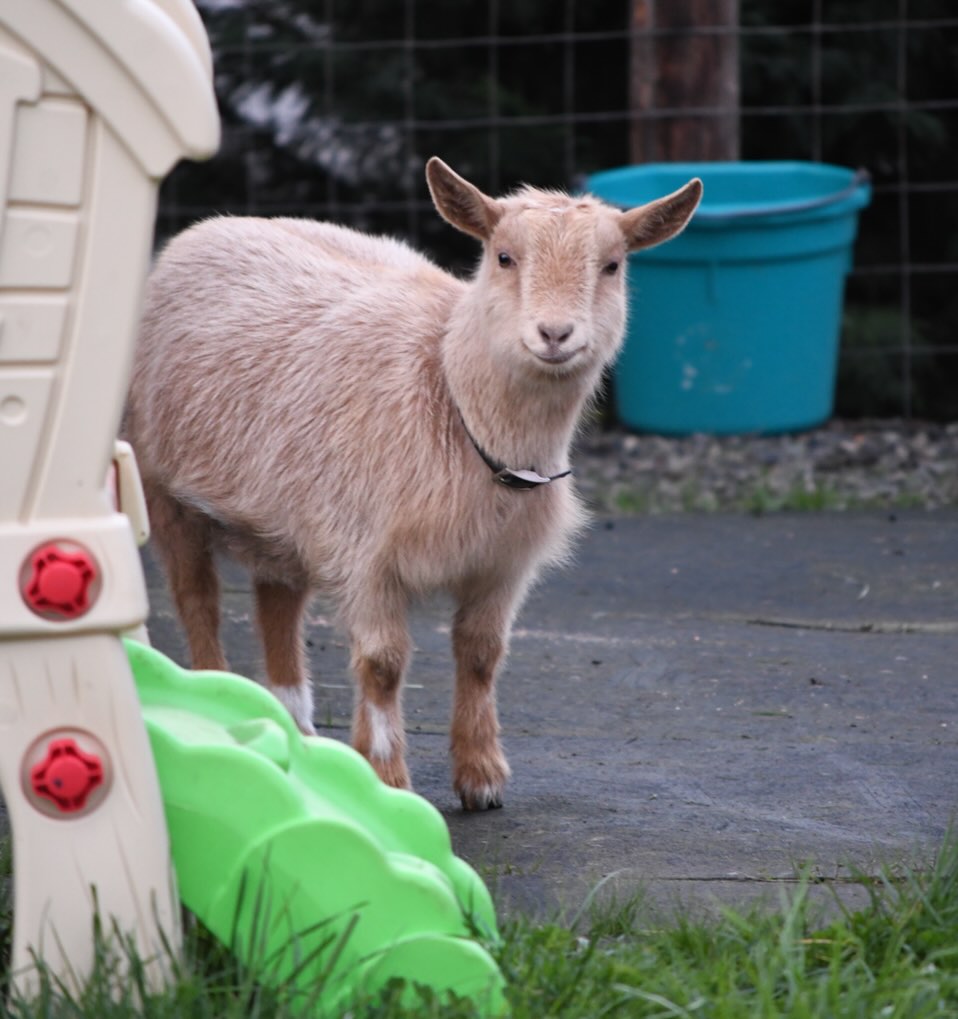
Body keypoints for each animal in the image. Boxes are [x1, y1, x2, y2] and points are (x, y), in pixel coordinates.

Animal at [124, 158, 701, 809]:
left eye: (612, 265)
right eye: (503, 257)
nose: (556, 334)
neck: (450, 390)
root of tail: (203, 230)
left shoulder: (502, 565)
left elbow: (482, 654)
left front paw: (481, 775)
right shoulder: (366, 554)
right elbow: (383, 663)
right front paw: (386, 778)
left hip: (281, 513)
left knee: (278, 601)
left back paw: (296, 731)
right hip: (162, 488)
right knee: (197, 598)